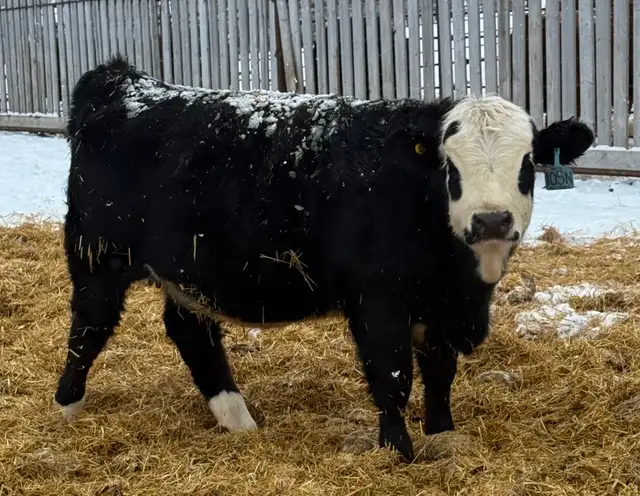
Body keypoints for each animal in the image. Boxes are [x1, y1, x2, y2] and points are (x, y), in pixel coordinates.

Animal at [54, 55, 594, 461]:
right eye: (450, 166)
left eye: (526, 163)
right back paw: (66, 409)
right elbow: (393, 377)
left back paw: (238, 420)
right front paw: (398, 453)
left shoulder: (437, 306)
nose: (491, 220)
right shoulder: (377, 301)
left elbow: (440, 375)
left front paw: (443, 435)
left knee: (191, 333)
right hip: (98, 259)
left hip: (189, 272)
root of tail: (124, 81)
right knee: (89, 328)